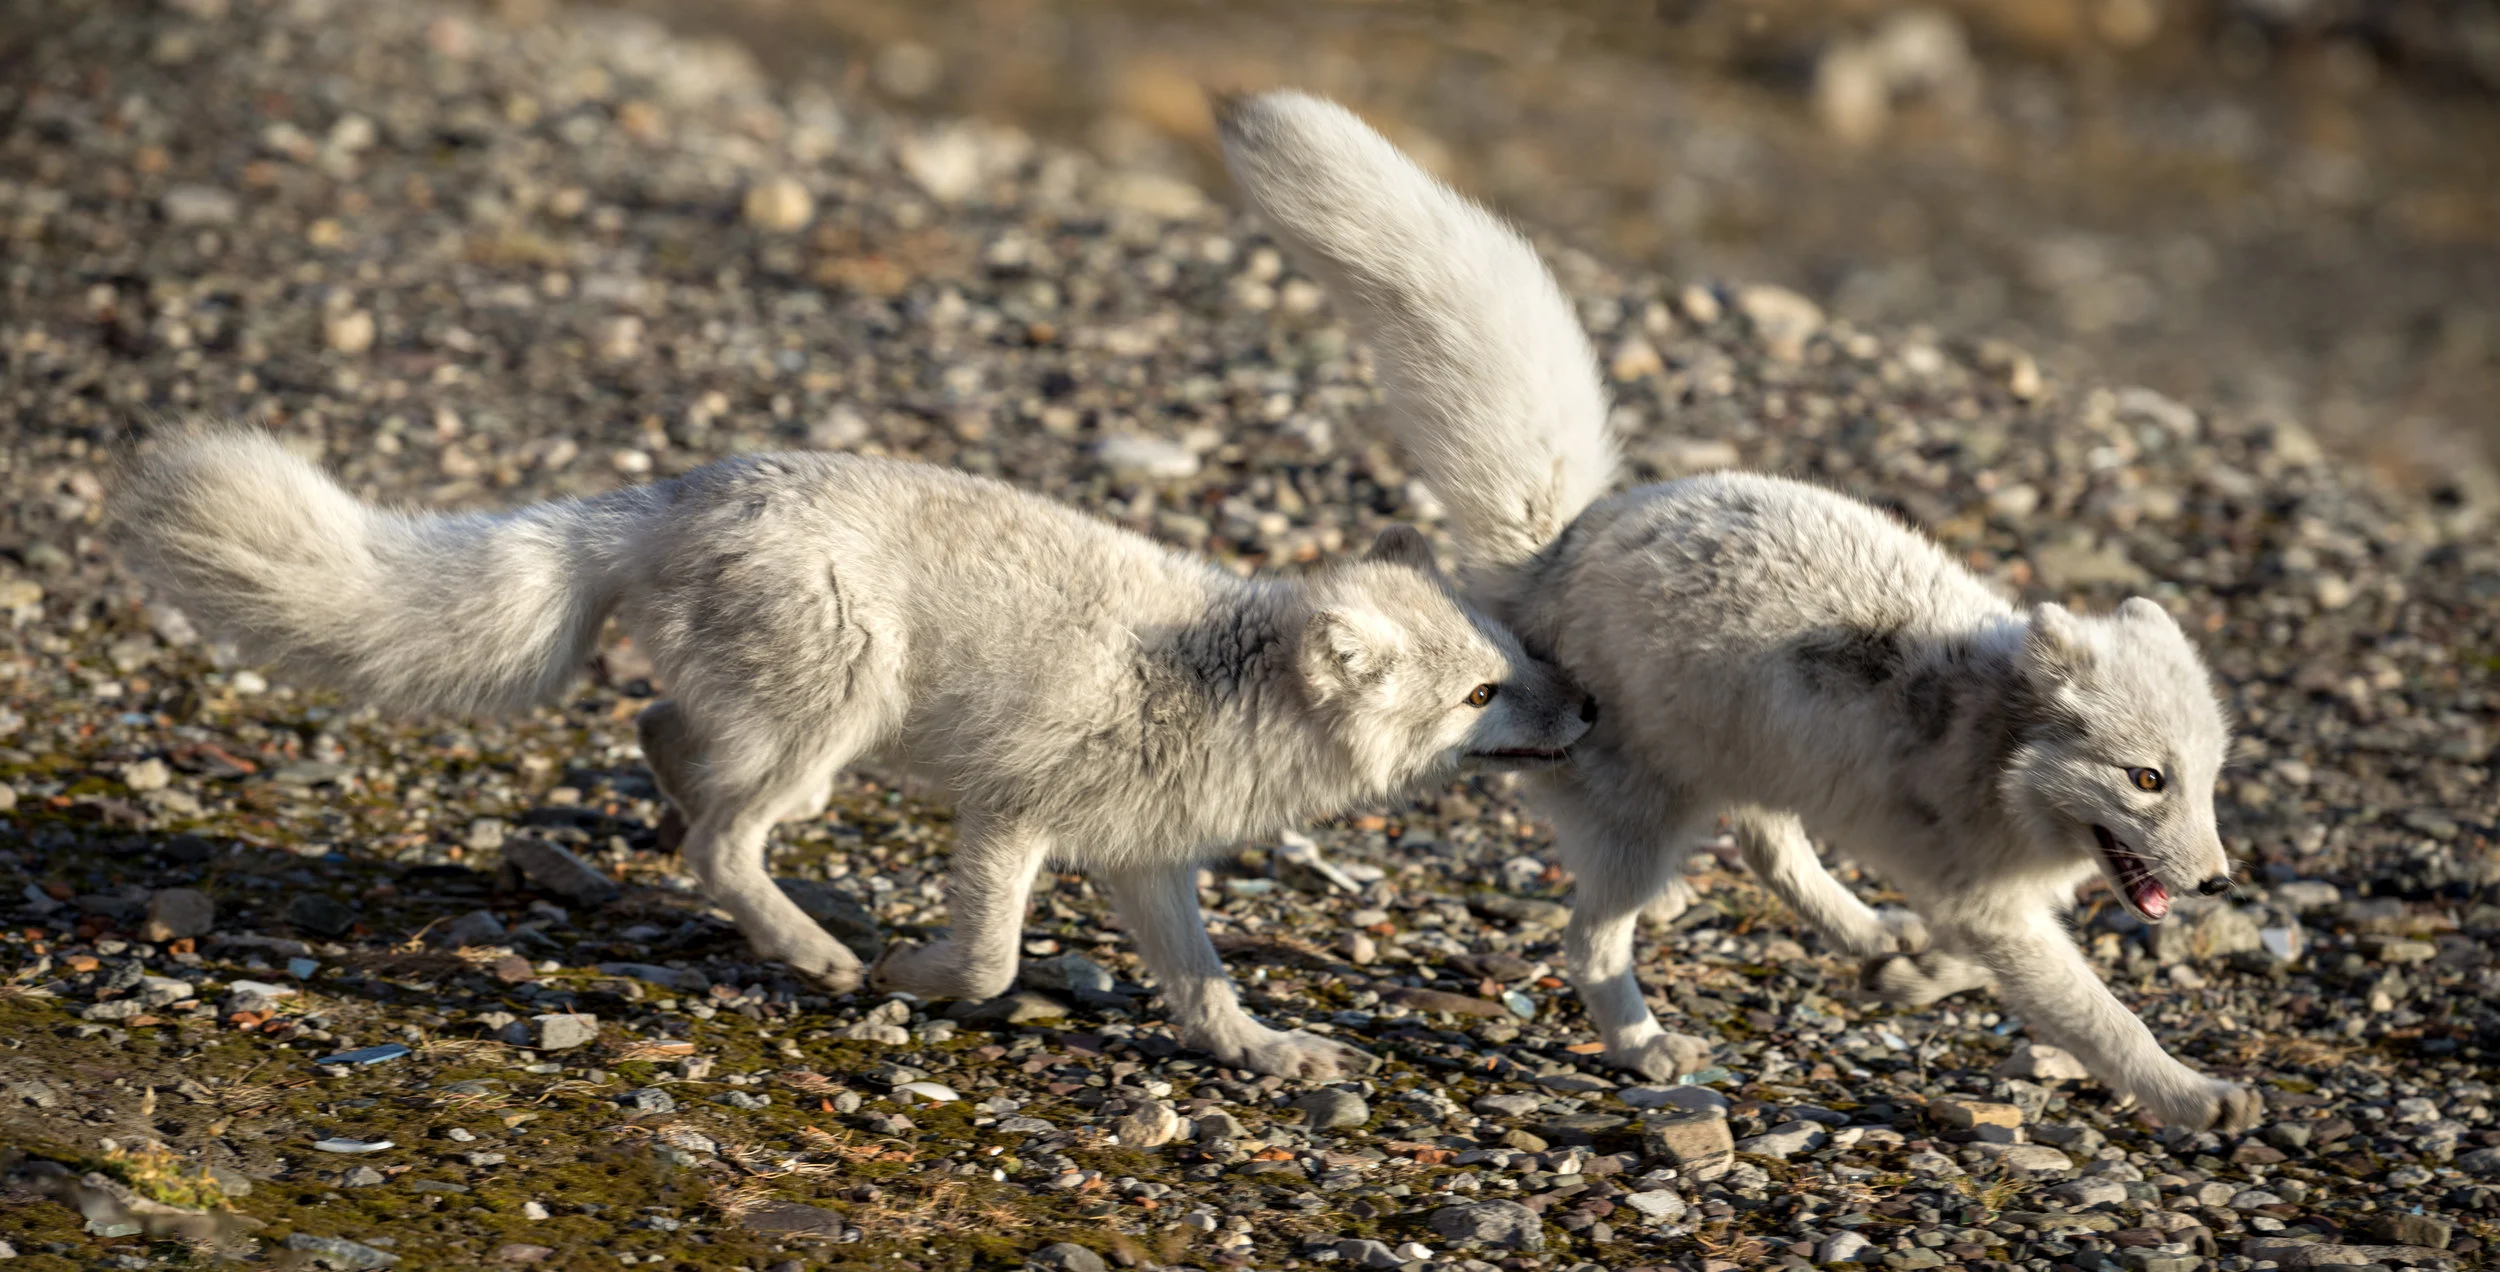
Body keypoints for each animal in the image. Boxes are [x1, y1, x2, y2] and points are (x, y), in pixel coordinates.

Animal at [113, 429, 1593, 1078]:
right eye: (1483, 692)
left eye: (1515, 664)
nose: (1588, 714)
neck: (1231, 683)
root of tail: (672, 493)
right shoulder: (1012, 819)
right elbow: (992, 957)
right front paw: (916, 979)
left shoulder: (1141, 861)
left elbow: (1200, 981)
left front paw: (1264, 1051)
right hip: (834, 718)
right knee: (717, 833)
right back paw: (819, 953)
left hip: (795, 721)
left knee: (668, 748)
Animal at [1217, 90, 2262, 1129]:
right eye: (2146, 780)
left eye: (2207, 782)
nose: (2219, 882)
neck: (1989, 737)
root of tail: (1562, 548)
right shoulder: (1985, 904)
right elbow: (2096, 1015)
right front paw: (2193, 1095)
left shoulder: (1977, 900)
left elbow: (1982, 965)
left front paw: (1911, 976)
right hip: (1648, 831)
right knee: (1591, 944)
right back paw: (1646, 1048)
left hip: (1755, 763)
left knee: (1767, 851)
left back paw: (1864, 937)